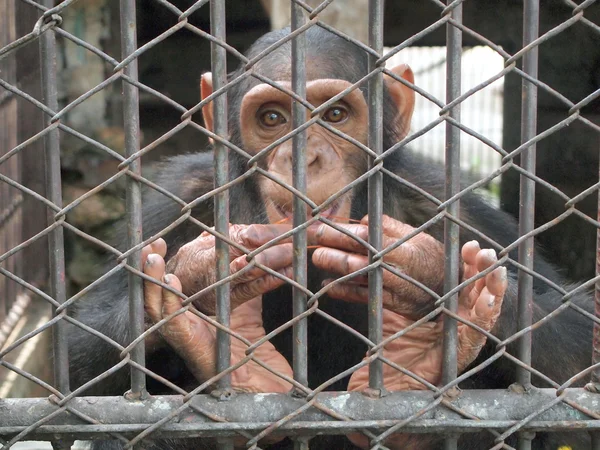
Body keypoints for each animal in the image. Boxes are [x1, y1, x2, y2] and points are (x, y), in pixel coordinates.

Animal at [68, 26, 592, 448]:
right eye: (273, 118)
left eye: (336, 115)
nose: (305, 156)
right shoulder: (174, 201)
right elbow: (78, 370)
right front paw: (203, 278)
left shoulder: (454, 206)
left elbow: (579, 344)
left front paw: (423, 272)